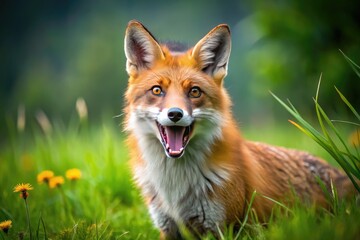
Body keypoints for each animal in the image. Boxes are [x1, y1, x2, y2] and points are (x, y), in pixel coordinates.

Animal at [121, 20, 358, 238]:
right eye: (157, 90)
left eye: (194, 92)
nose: (175, 114)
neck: (175, 185)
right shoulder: (168, 227)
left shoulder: (223, 228)